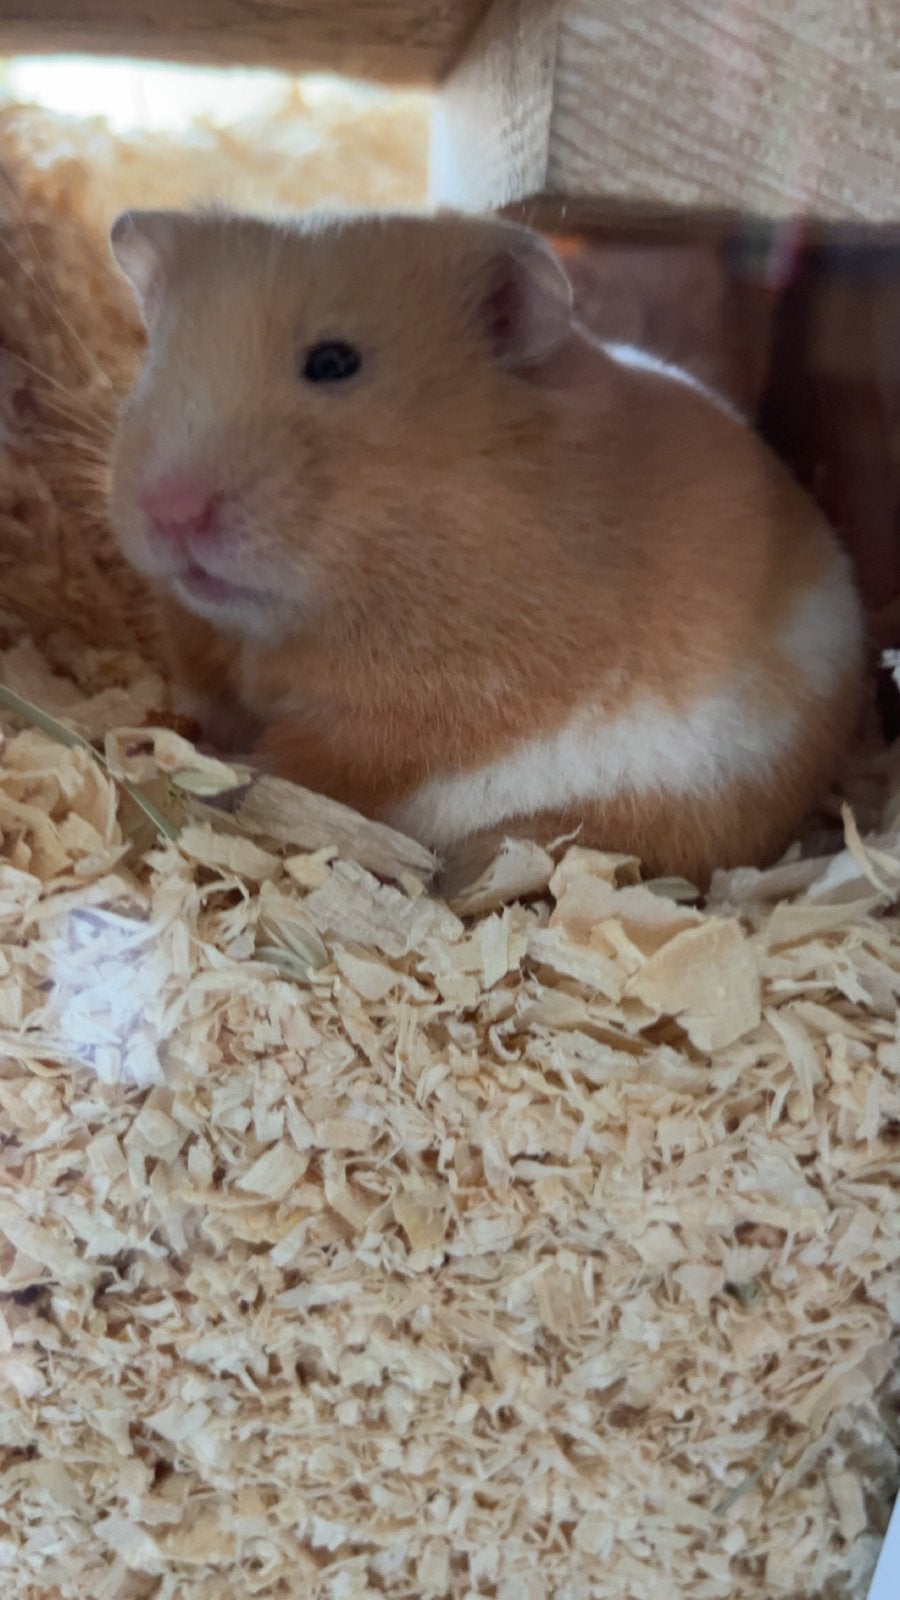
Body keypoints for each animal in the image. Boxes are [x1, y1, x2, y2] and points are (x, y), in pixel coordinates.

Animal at [107, 206, 864, 885]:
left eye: (333, 362)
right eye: (156, 361)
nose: (170, 512)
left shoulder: (408, 718)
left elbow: (305, 766)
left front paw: (210, 771)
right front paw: (162, 733)